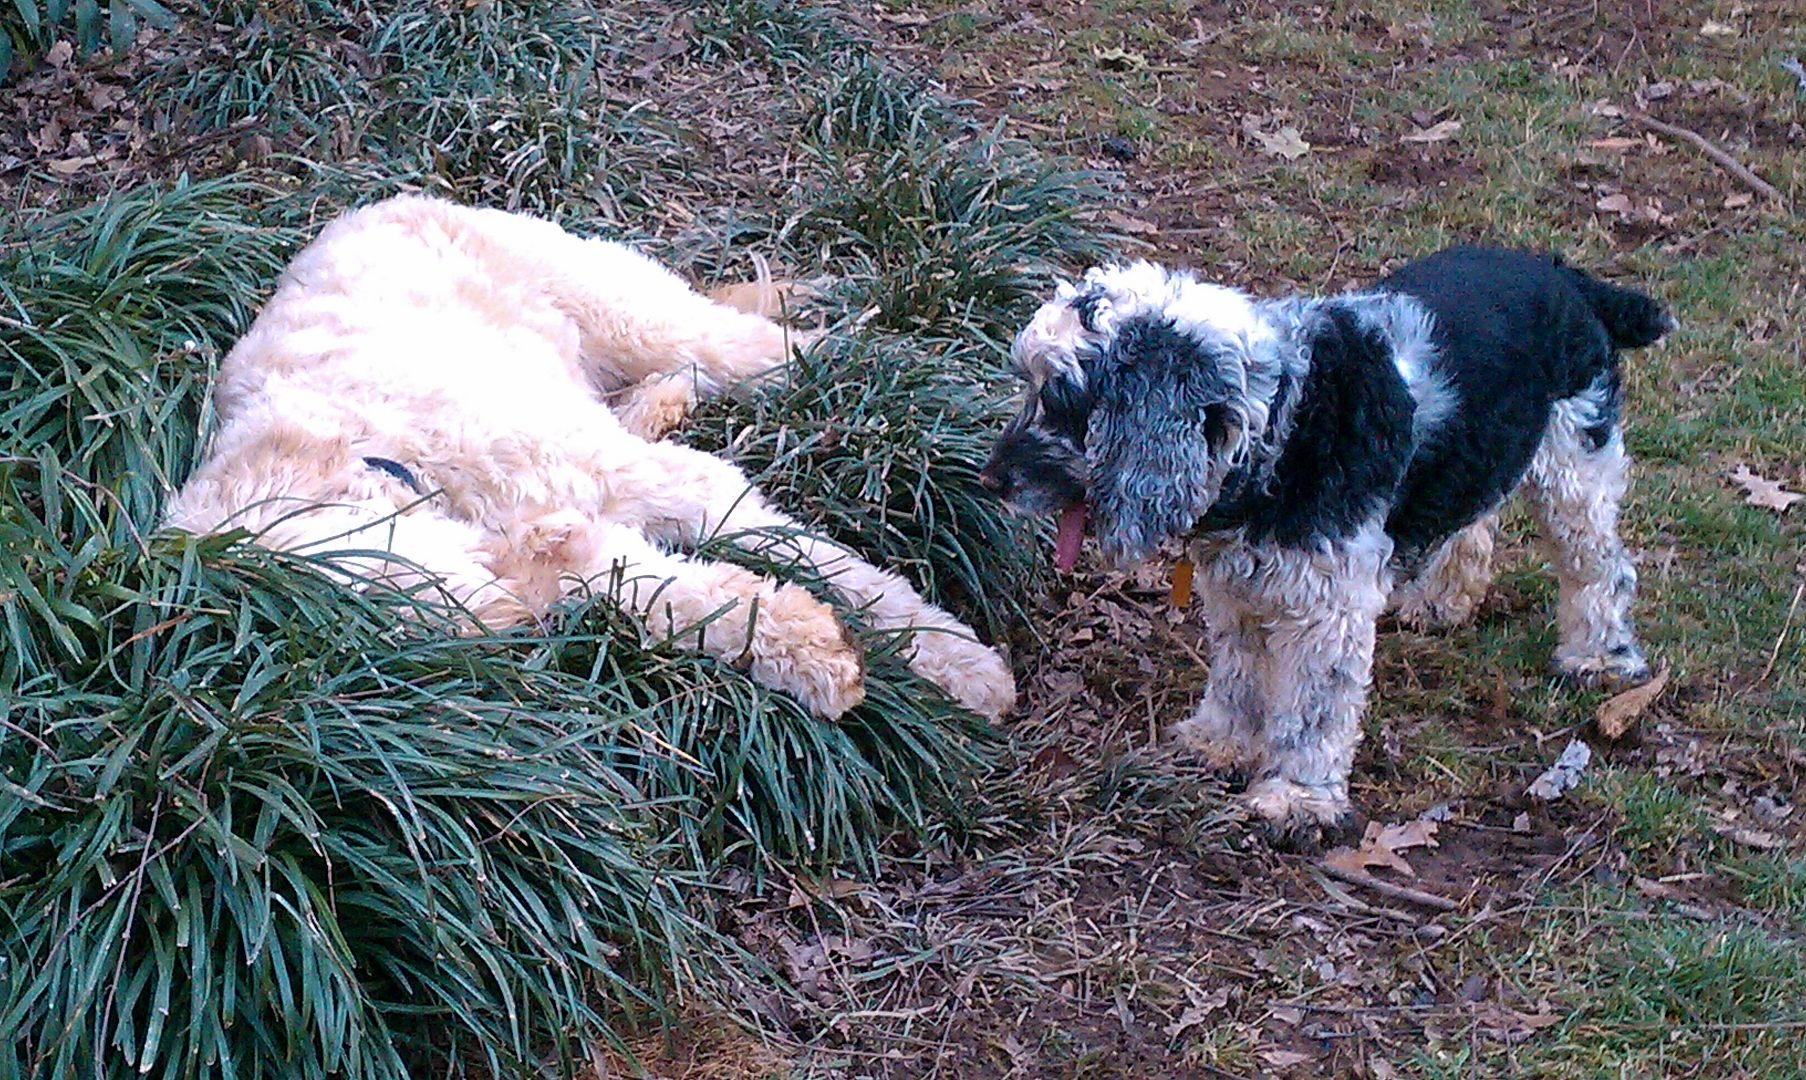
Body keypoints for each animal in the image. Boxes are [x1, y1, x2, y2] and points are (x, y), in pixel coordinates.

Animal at [166, 198, 1018, 722]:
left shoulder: (653, 484)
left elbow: (837, 569)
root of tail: (380, 204)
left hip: (632, 314)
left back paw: (907, 359)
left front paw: (957, 661)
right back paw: (664, 404)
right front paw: (808, 652)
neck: (398, 452)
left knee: (777, 350)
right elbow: (677, 599)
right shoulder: (584, 531)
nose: (524, 622)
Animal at [982, 247, 1668, 845]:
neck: (1278, 417)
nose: (991, 481)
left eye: (1062, 401)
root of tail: (1566, 276)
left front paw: (1295, 798)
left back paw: (1598, 658)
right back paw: (1444, 601)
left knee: (1603, 570)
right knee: (1475, 518)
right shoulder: (1238, 591)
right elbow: (1238, 676)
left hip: (1574, 464)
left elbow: (1314, 707)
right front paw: (1220, 741)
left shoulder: (1328, 607)